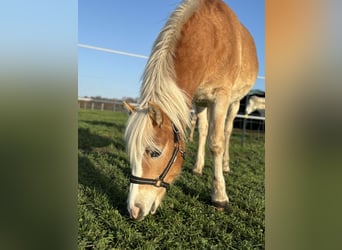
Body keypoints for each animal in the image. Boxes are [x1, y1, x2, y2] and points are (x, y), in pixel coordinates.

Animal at [124, 0, 258, 220]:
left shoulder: (221, 97)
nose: (133, 210)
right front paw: (199, 167)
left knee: (227, 131)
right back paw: (198, 166)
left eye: (154, 153)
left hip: (235, 102)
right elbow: (204, 132)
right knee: (204, 130)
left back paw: (226, 166)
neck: (211, 39)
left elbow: (216, 143)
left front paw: (219, 197)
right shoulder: (196, 99)